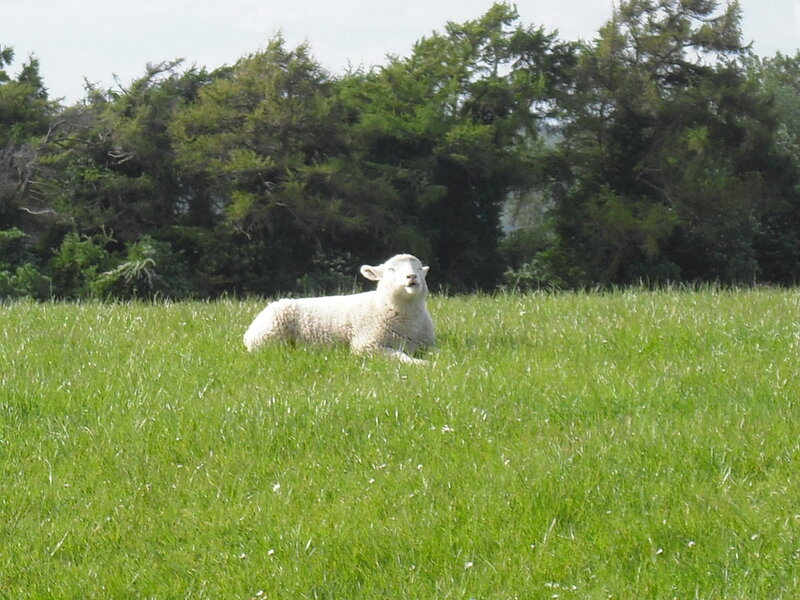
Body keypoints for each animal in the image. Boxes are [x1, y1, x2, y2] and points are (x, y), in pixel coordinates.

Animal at [243, 254, 435, 364]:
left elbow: (438, 353)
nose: (412, 276)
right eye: (391, 270)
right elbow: (400, 356)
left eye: (419, 268)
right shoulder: (366, 346)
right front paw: (421, 364)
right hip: (268, 340)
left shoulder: (426, 344)